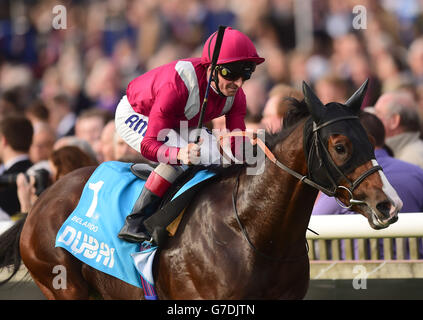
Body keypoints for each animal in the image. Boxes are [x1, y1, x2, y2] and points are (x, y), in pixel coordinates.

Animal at [0, 80, 400, 300]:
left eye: (370, 140)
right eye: (340, 146)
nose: (389, 205)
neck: (253, 231)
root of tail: (41, 202)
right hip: (61, 283)